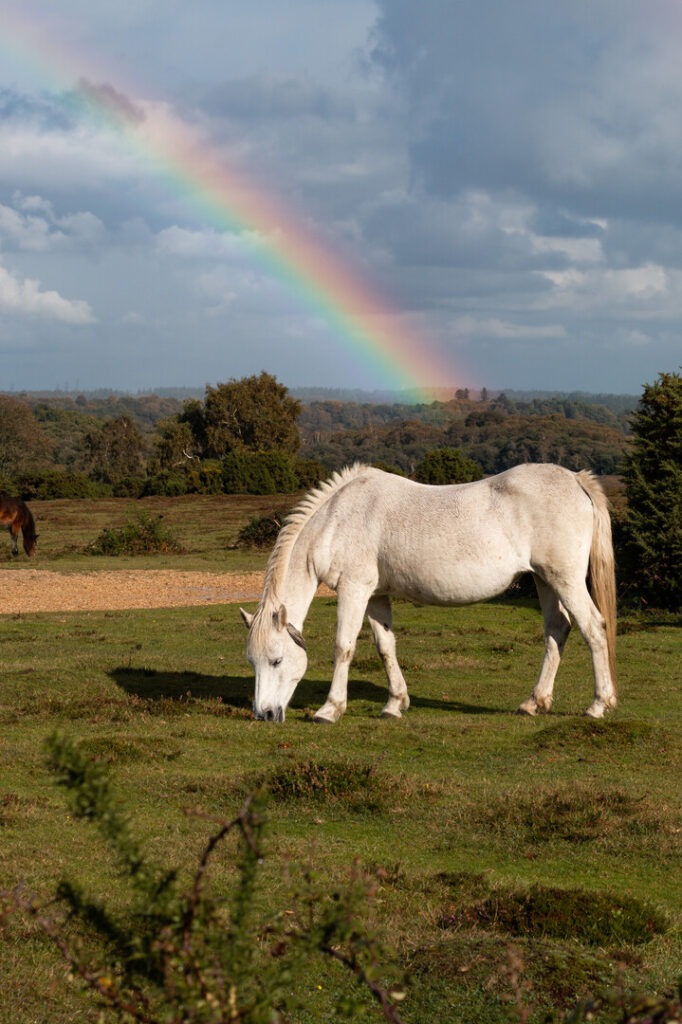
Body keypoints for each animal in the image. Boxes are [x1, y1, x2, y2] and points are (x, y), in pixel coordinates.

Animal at [240, 462, 617, 724]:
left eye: (276, 660)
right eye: (252, 662)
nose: (265, 714)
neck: (337, 520)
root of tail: (575, 479)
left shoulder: (354, 590)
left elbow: (343, 647)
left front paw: (329, 710)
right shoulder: (376, 595)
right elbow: (385, 647)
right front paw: (395, 704)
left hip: (565, 580)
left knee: (593, 628)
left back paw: (599, 705)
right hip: (544, 580)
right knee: (557, 630)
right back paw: (534, 703)